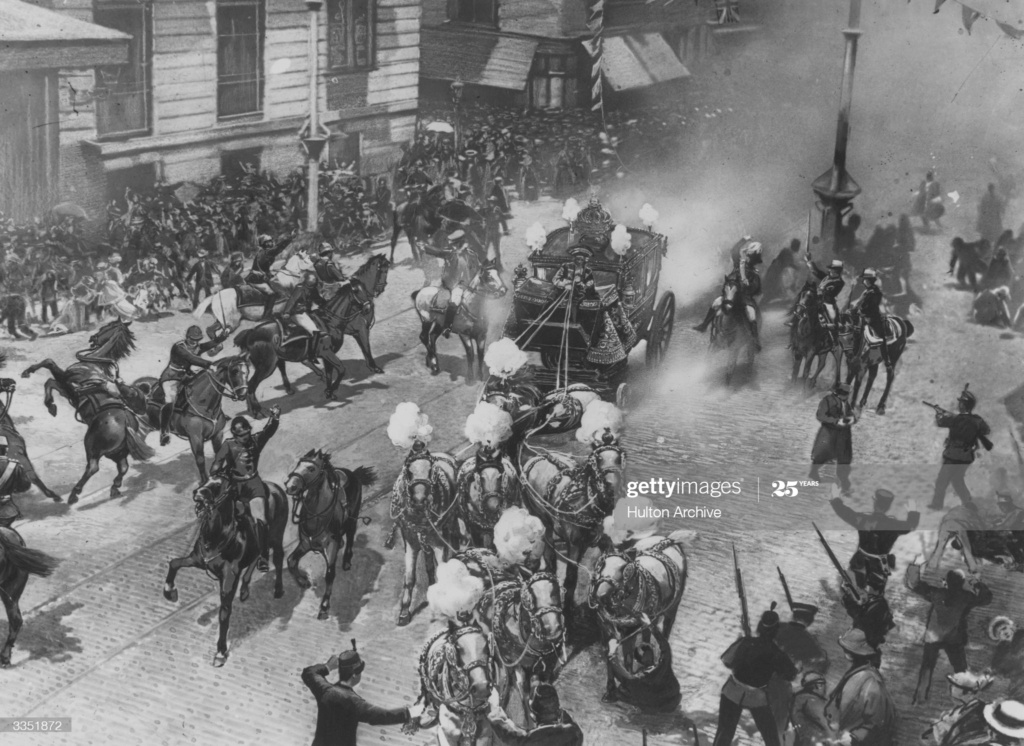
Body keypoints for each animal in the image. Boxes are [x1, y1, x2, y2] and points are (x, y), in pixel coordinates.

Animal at [20, 317, 153, 503]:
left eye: (107, 326)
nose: (93, 337)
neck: (93, 362)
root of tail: (127, 424)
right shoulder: (68, 391)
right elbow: (50, 382)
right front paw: (51, 406)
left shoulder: (69, 387)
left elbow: (49, 365)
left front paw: (30, 375)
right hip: (116, 453)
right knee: (123, 468)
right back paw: (114, 488)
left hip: (92, 446)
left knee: (93, 467)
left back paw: (74, 494)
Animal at [162, 474, 288, 667]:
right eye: (206, 479)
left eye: (220, 485)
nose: (197, 493)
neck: (218, 536)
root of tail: (276, 487)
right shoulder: (196, 560)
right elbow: (174, 563)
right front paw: (170, 592)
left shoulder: (228, 582)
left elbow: (224, 614)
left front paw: (221, 652)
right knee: (254, 559)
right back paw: (244, 590)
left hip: (276, 537)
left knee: (278, 559)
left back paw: (278, 589)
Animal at [234, 254, 389, 419]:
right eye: (356, 290)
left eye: (363, 289)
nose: (367, 307)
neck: (330, 321)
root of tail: (250, 334)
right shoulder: (333, 348)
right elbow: (343, 368)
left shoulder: (327, 355)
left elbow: (330, 373)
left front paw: (329, 392)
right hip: (266, 366)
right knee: (251, 385)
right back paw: (257, 412)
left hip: (276, 360)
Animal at [284, 450, 376, 618]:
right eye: (298, 464)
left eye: (311, 469)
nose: (290, 486)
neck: (317, 517)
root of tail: (354, 474)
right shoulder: (305, 544)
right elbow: (291, 561)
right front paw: (304, 582)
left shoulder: (330, 547)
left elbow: (329, 574)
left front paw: (324, 607)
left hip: (352, 519)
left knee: (350, 537)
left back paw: (346, 561)